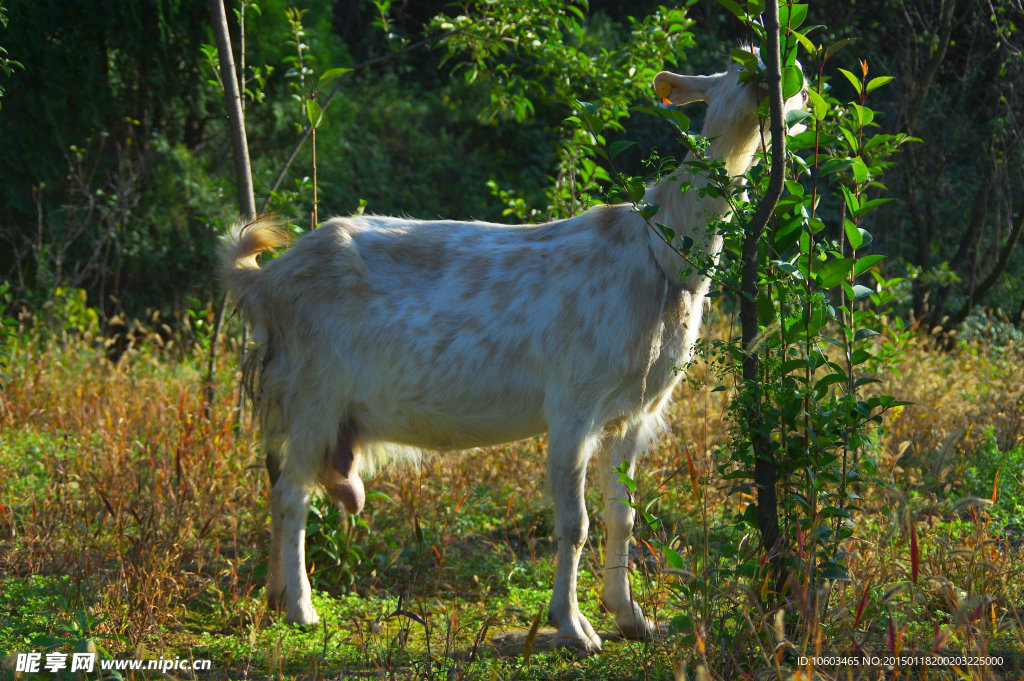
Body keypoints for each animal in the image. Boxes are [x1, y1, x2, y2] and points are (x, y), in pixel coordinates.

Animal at [218, 54, 806, 655]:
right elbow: (575, 523)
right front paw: (573, 627)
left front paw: (631, 618)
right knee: (291, 495)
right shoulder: (573, 404)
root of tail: (264, 281)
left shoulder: (632, 413)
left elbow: (623, 517)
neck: (662, 258)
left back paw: (275, 597)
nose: (776, 75)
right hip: (313, 393)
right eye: (735, 69)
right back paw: (301, 609)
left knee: (282, 488)